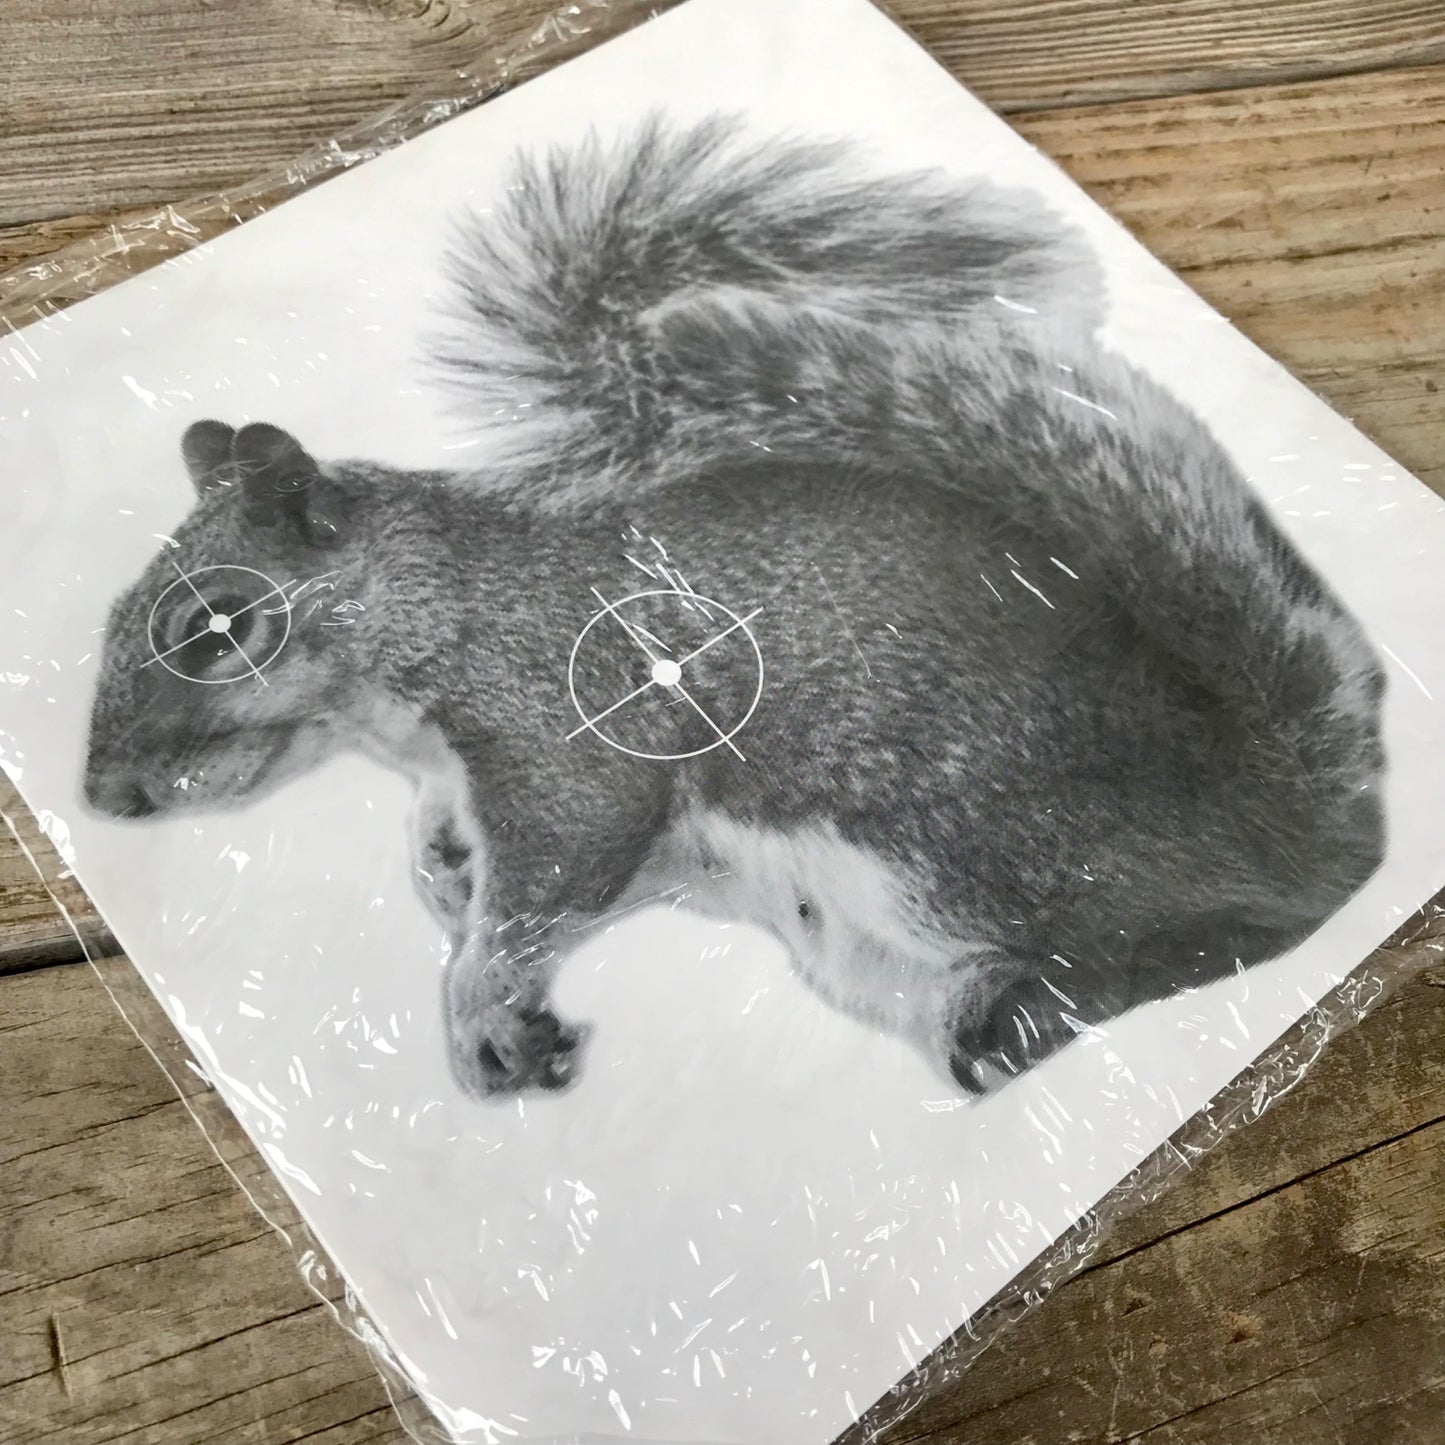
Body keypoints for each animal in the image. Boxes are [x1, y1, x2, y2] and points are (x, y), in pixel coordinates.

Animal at [82, 116, 1387, 1100]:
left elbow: (558, 865)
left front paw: (476, 1001)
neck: (442, 608)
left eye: (218, 625)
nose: (101, 797)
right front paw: (446, 871)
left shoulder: (571, 733)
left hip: (950, 849)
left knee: (1176, 942)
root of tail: (1301, 823)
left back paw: (1020, 1004)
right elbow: (472, 857)